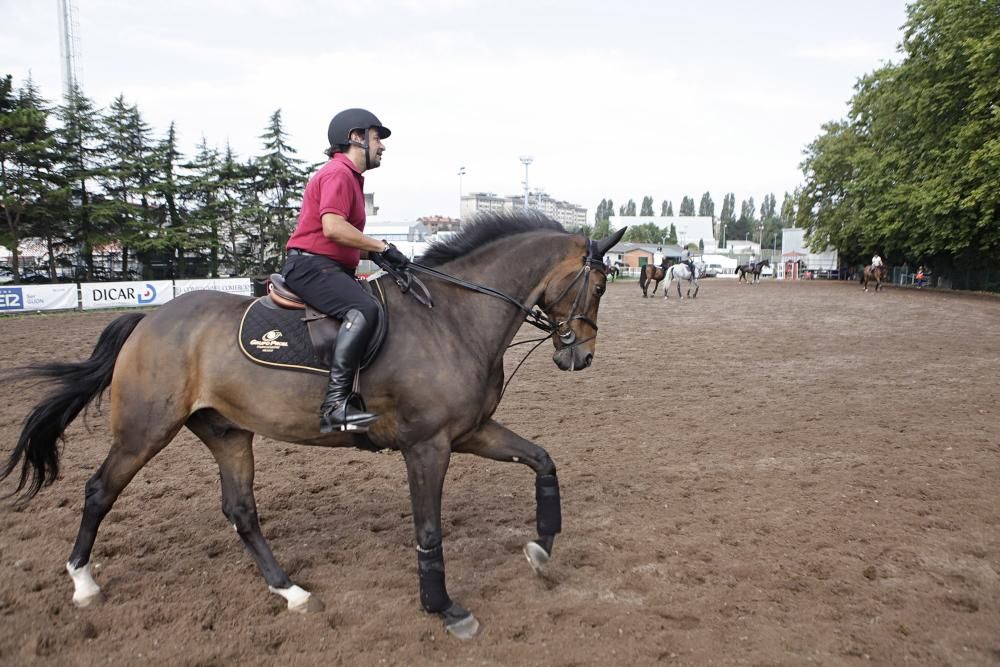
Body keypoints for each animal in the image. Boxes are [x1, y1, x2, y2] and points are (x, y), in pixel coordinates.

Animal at [0, 211, 624, 640]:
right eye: (598, 286)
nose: (580, 356)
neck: (451, 316)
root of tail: (149, 319)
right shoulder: (428, 446)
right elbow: (428, 531)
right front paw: (443, 607)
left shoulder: (469, 432)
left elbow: (542, 461)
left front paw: (543, 546)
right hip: (144, 431)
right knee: (99, 491)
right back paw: (83, 582)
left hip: (226, 432)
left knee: (241, 510)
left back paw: (291, 592)